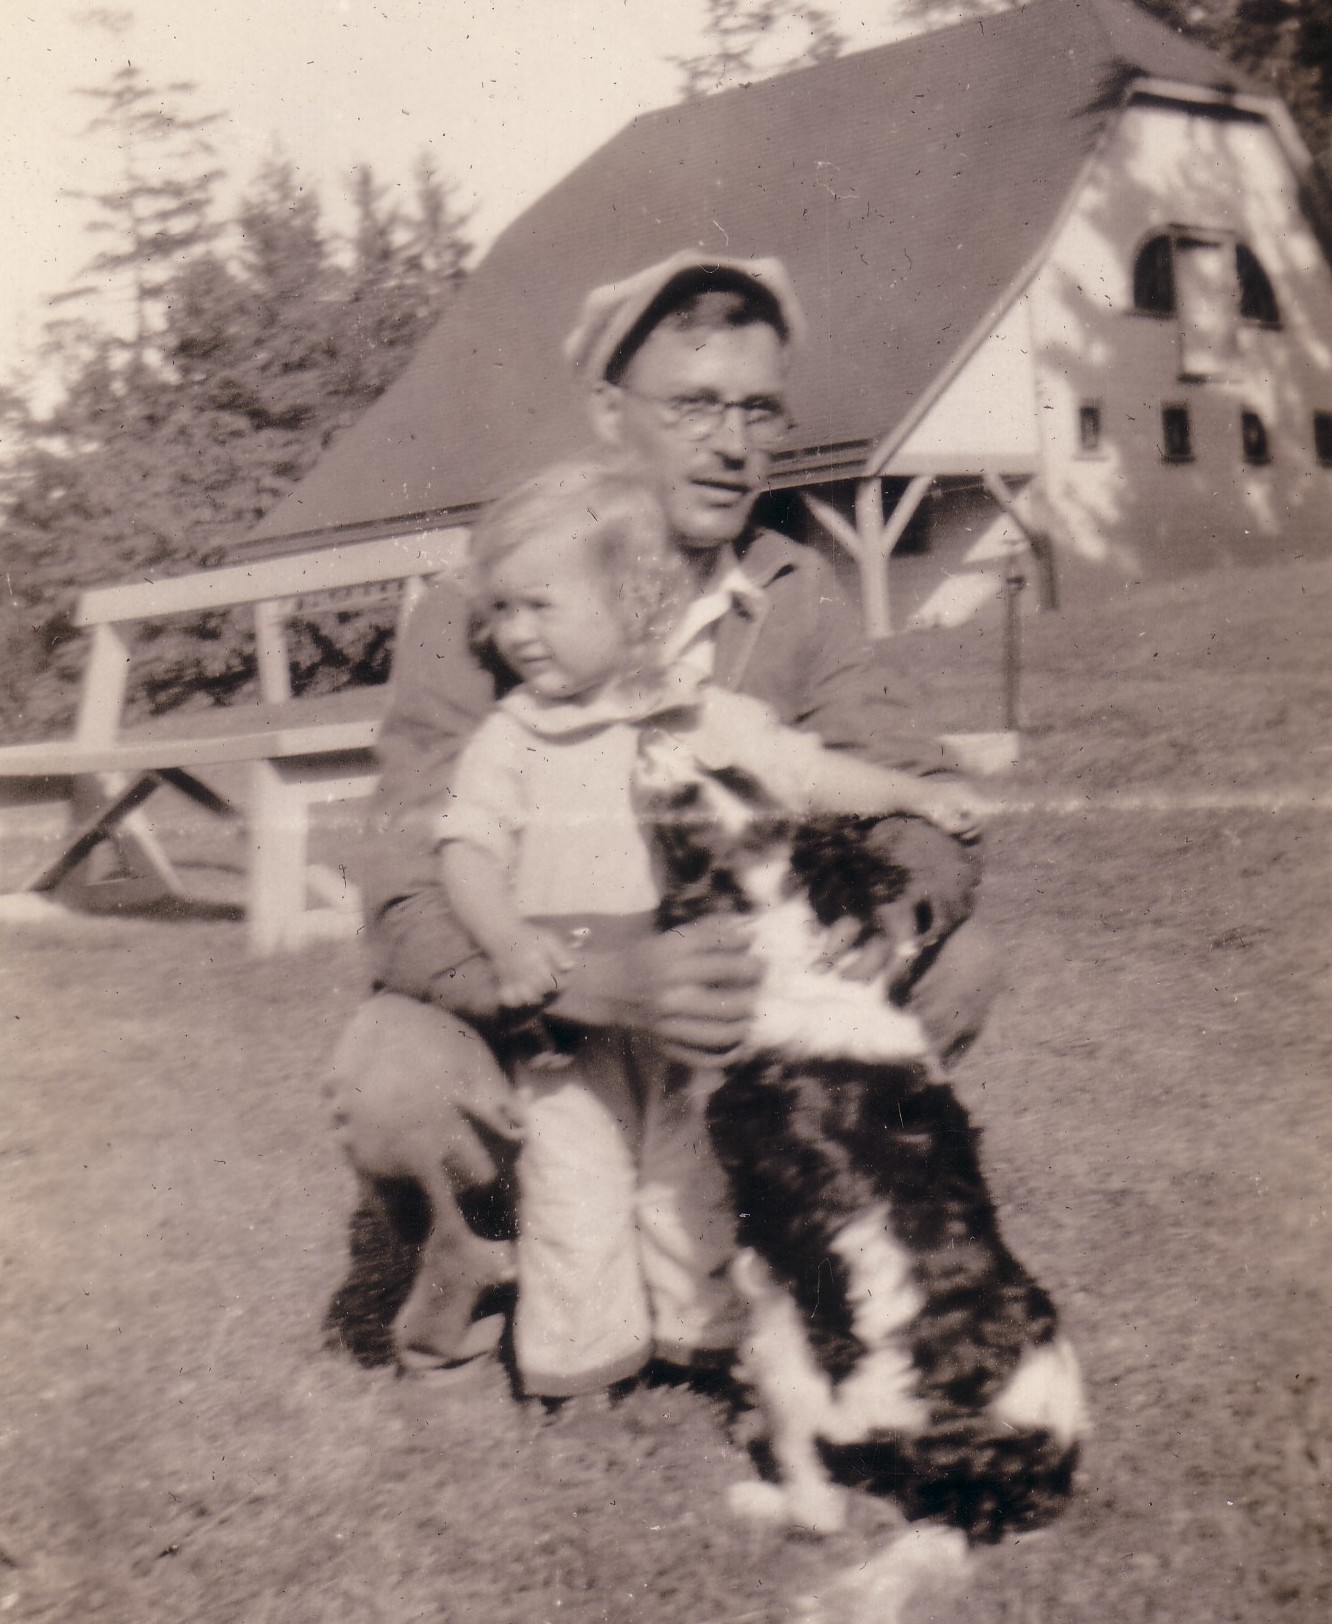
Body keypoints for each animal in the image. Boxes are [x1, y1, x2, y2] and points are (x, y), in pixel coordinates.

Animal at [633, 729, 1086, 1556]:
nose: (653, 732)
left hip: (796, 1346)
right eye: (730, 770)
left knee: (819, 1496)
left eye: (686, 807)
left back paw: (764, 1496)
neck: (792, 929)